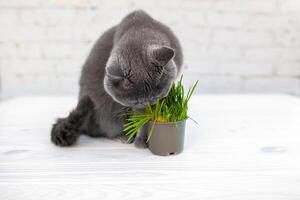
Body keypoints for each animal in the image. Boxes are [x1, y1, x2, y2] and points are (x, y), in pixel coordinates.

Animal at [50, 10, 183, 148]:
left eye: (156, 96)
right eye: (136, 102)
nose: (146, 103)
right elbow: (141, 120)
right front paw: (141, 141)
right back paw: (123, 137)